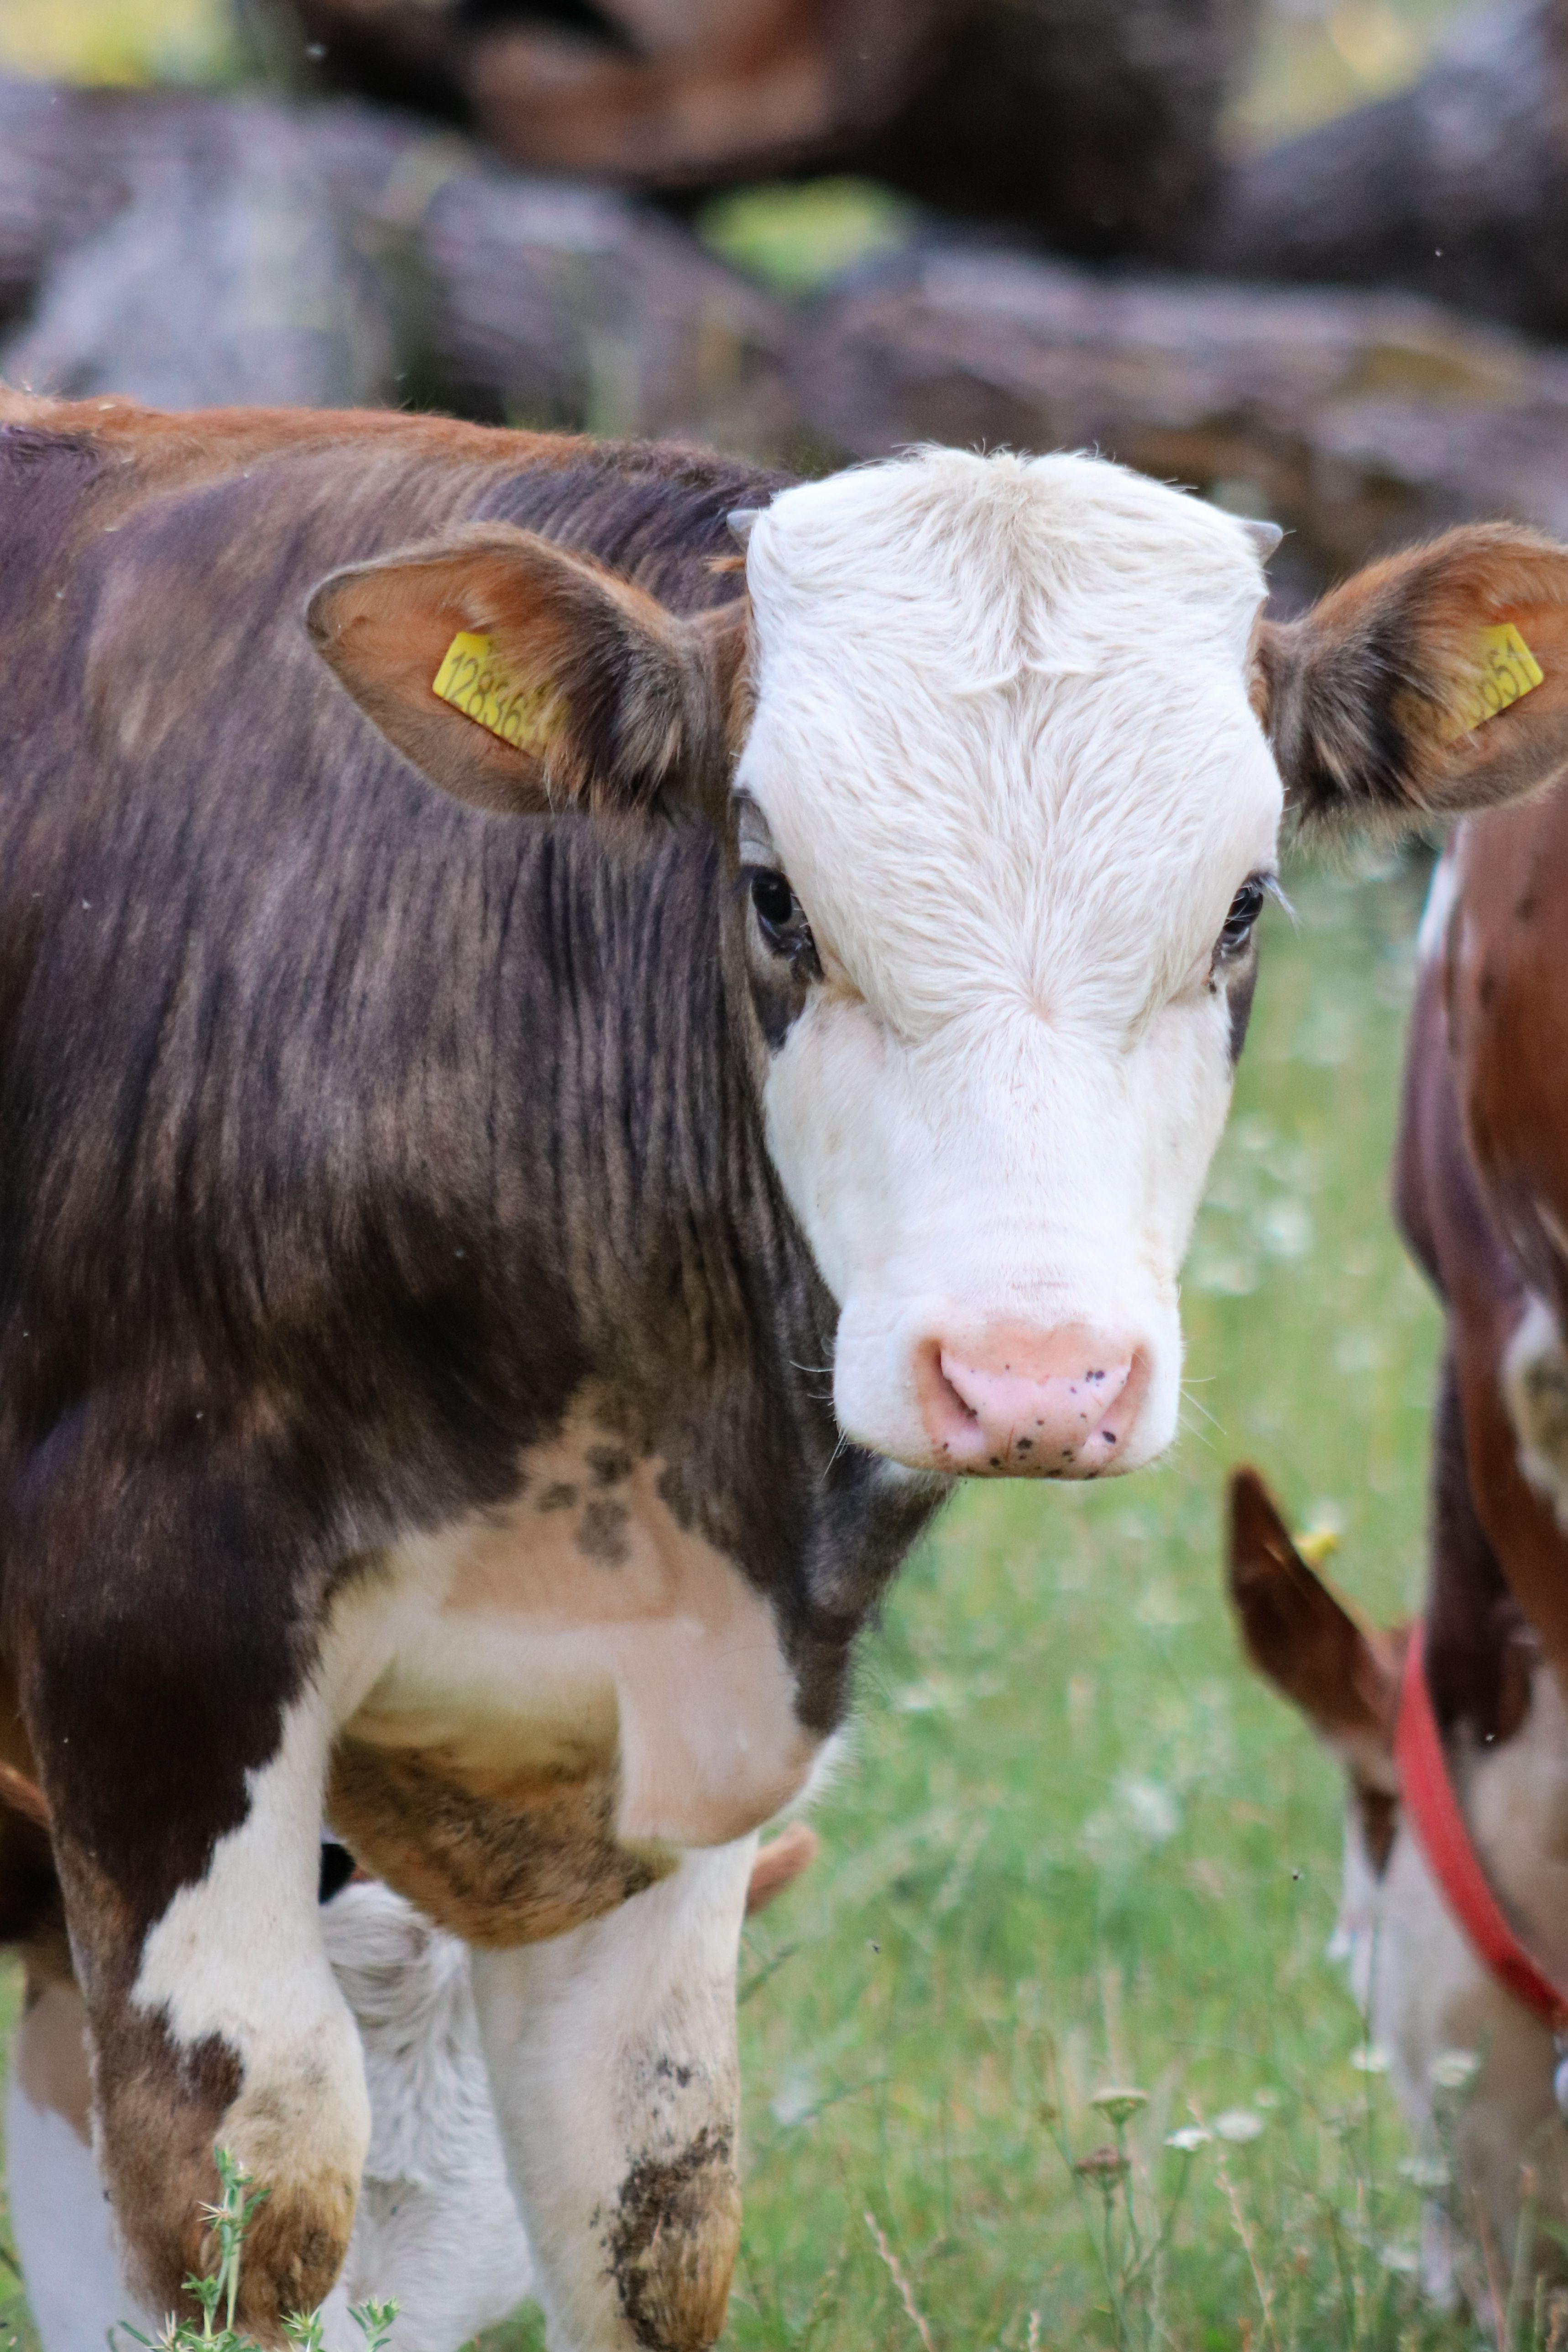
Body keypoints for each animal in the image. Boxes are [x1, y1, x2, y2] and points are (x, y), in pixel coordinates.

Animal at [0, 388, 1563, 2352]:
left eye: (1241, 905)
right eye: (771, 897)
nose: (1030, 1377)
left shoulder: (681, 1728)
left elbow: (653, 2215)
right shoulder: (154, 1660)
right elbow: (249, 2205)